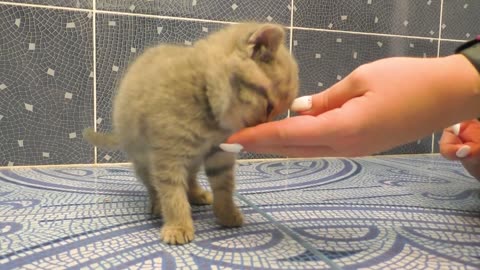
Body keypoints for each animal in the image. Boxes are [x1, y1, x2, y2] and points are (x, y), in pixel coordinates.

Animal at [84, 23, 298, 245]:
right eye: (269, 107)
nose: (265, 127)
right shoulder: (168, 157)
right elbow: (172, 194)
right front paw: (178, 225)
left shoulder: (218, 154)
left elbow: (224, 186)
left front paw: (227, 213)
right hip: (142, 159)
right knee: (152, 185)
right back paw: (157, 204)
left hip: (192, 159)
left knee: (190, 178)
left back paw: (196, 194)